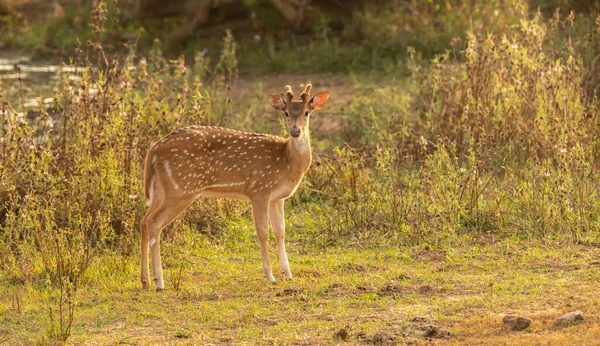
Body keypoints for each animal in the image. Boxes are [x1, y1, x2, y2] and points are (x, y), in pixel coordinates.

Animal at [139, 83, 330, 290]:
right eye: (286, 113)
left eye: (306, 113)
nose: (295, 132)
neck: (286, 162)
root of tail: (154, 149)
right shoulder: (259, 189)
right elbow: (263, 231)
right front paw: (270, 276)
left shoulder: (277, 197)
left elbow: (280, 231)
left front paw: (288, 274)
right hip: (181, 188)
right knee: (154, 222)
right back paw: (159, 282)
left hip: (162, 190)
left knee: (144, 221)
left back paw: (145, 280)